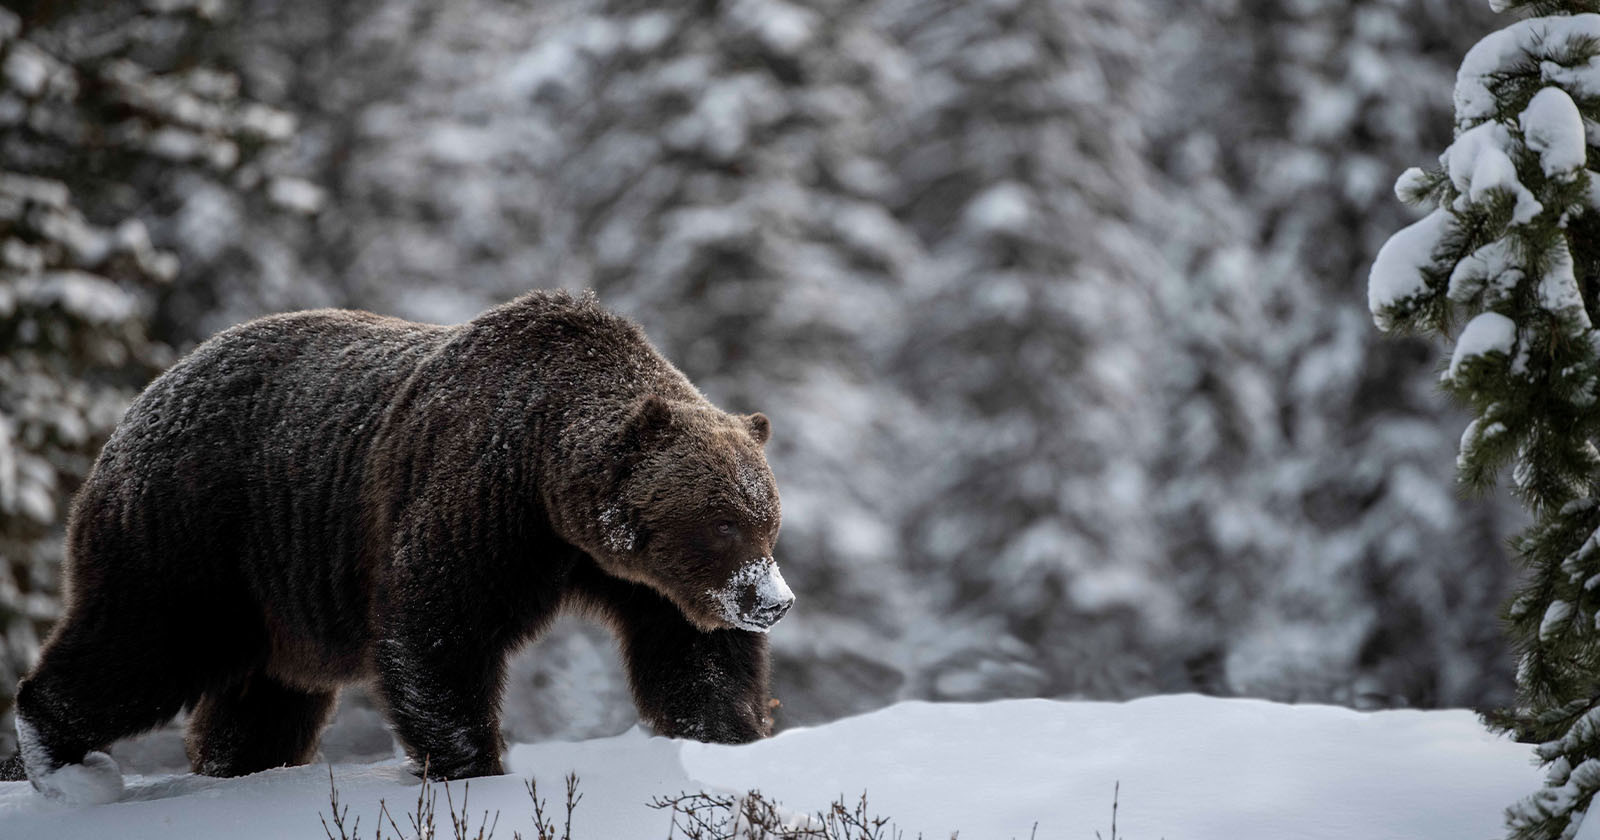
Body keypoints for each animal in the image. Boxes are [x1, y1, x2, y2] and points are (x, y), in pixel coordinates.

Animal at [4, 291, 793, 803]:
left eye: (768, 520)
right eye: (721, 522)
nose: (773, 600)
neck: (545, 479)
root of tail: (137, 405)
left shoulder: (630, 575)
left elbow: (693, 657)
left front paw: (731, 739)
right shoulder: (477, 501)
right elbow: (437, 630)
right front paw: (474, 766)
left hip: (275, 598)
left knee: (259, 705)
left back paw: (236, 768)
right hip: (196, 533)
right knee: (140, 645)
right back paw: (62, 763)